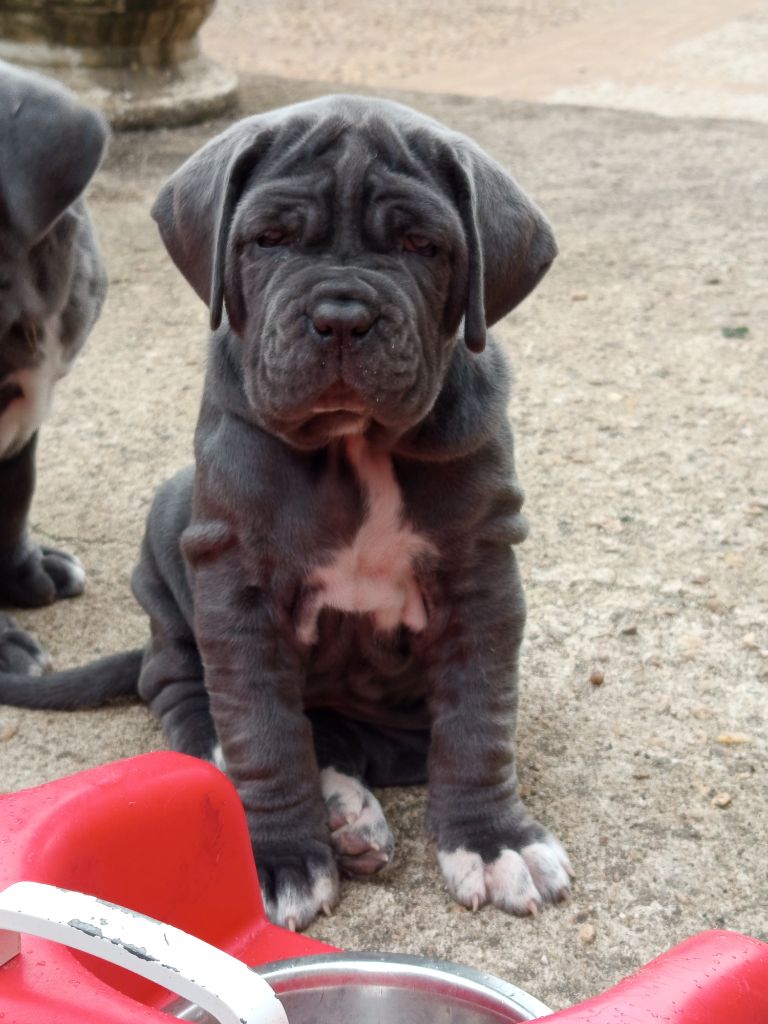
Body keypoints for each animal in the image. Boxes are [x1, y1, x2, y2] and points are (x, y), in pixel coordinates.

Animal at [0, 95, 572, 929]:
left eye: (422, 244)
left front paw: (495, 842)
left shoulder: (480, 575)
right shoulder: (238, 581)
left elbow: (477, 721)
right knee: (182, 691)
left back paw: (348, 811)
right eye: (268, 239)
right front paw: (276, 856)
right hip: (171, 532)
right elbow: (263, 728)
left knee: (356, 741)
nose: (341, 315)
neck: (354, 444)